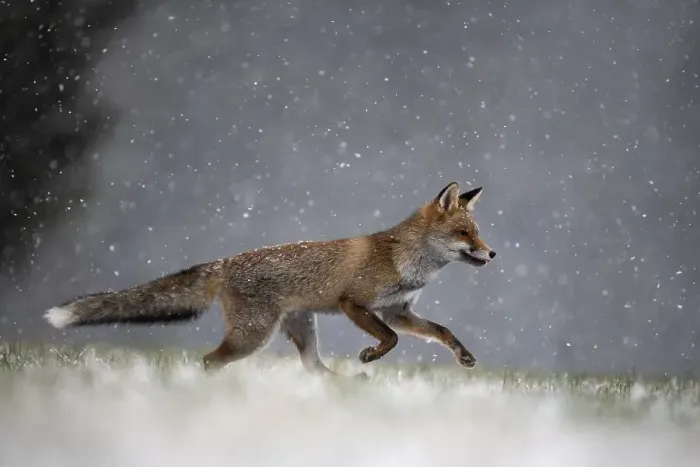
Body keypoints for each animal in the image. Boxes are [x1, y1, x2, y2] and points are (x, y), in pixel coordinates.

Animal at [44, 181, 496, 376]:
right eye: (465, 234)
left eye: (477, 233)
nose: (492, 254)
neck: (408, 263)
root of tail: (224, 262)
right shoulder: (354, 303)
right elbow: (391, 340)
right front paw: (371, 355)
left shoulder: (398, 311)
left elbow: (441, 331)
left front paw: (465, 357)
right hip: (254, 335)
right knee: (210, 361)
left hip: (301, 328)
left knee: (314, 368)